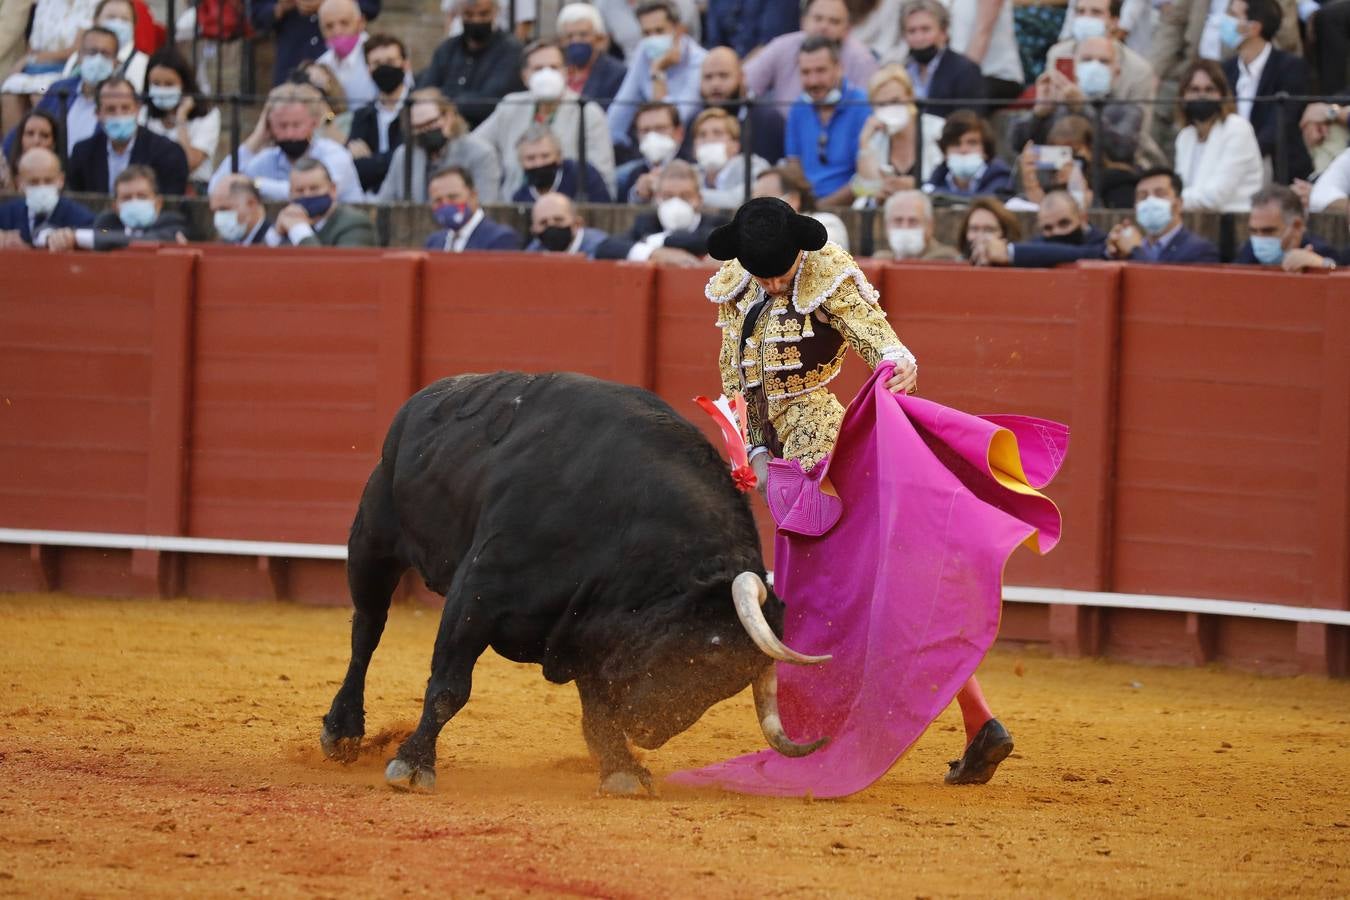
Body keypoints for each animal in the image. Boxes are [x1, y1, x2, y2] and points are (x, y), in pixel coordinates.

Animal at [321, 372, 826, 793]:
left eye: (734, 683)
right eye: (712, 648)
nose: (648, 731)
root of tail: (425, 397)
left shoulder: (588, 623)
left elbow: (598, 705)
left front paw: (622, 769)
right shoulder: (477, 593)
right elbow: (449, 687)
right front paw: (411, 765)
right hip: (372, 539)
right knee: (367, 630)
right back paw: (342, 732)